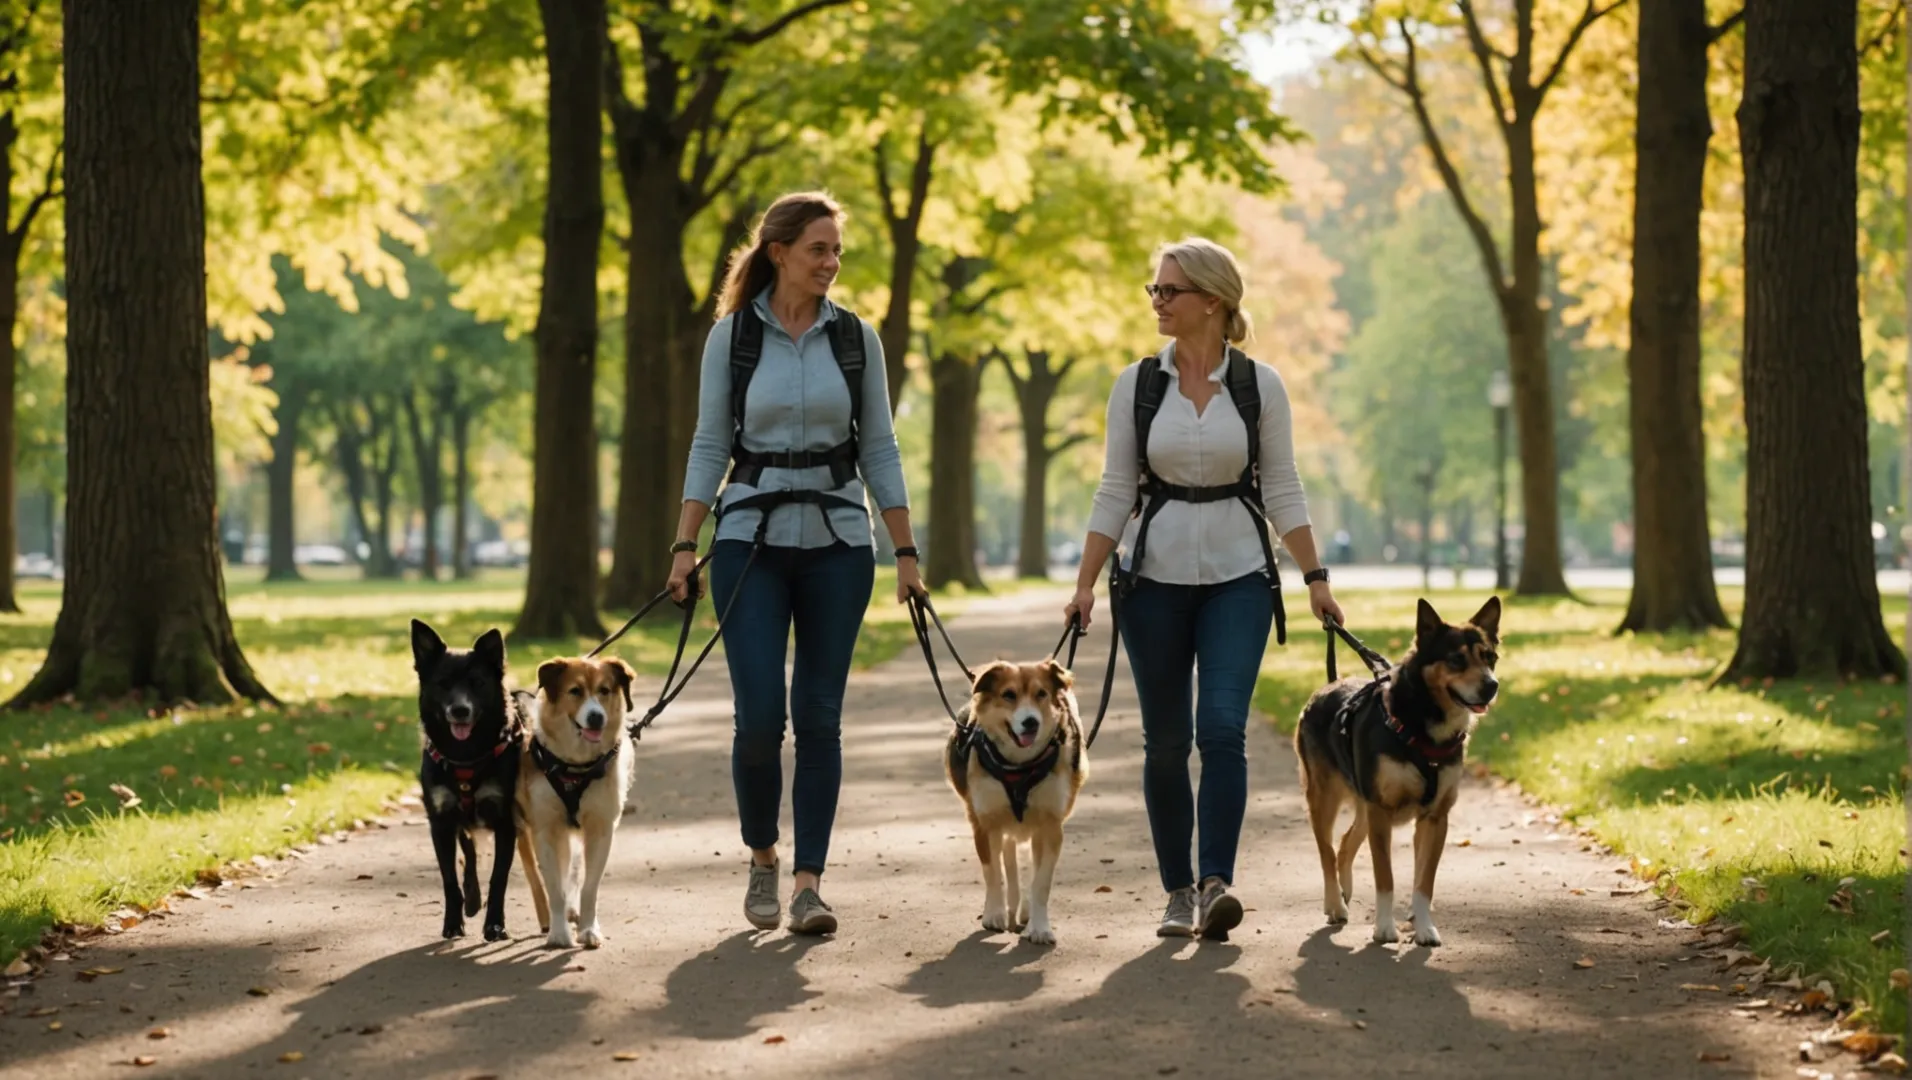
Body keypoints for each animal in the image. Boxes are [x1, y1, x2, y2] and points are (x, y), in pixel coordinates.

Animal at [409, 619, 531, 940]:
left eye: (477, 683)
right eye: (443, 683)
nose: (460, 710)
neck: (465, 756)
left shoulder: (505, 822)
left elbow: (498, 879)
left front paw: (495, 924)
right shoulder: (440, 822)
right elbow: (450, 878)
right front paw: (453, 922)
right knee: (469, 855)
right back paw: (472, 899)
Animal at [516, 653, 642, 948]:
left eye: (604, 690)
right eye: (575, 691)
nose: (596, 717)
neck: (575, 765)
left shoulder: (601, 827)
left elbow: (589, 885)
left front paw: (588, 929)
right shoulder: (545, 829)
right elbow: (554, 886)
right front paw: (559, 933)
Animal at [944, 657, 1093, 944]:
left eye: (1041, 694)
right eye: (1008, 695)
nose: (1031, 722)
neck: (1019, 765)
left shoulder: (1051, 825)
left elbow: (1041, 882)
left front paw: (1040, 927)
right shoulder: (986, 822)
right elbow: (993, 872)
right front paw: (994, 914)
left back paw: (1024, 913)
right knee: (1008, 861)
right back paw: (1010, 908)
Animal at [1292, 596, 1499, 944]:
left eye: (1491, 658)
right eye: (1456, 659)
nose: (1492, 686)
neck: (1424, 726)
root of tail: (1330, 684)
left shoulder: (1434, 817)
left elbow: (1424, 882)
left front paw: (1424, 926)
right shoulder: (1381, 811)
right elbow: (1385, 878)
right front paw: (1384, 928)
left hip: (1364, 806)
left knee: (1345, 845)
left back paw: (1346, 890)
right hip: (1324, 799)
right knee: (1327, 852)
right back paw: (1335, 903)